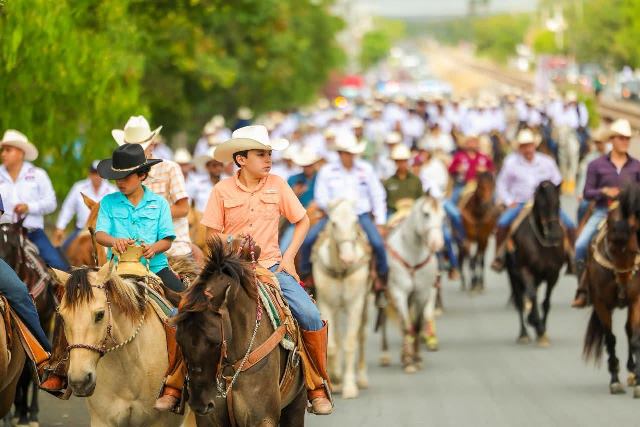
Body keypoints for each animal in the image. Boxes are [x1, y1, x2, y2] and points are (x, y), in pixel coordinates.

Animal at [174, 237, 307, 426]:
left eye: (216, 343)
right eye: (178, 340)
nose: (199, 404)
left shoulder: (263, 419)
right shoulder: (209, 420)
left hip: (297, 402)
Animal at [312, 199, 371, 399]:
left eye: (355, 221)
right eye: (334, 223)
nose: (348, 258)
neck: (341, 271)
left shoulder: (355, 304)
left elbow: (350, 343)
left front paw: (350, 387)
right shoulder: (326, 303)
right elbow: (331, 345)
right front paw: (336, 378)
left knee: (361, 335)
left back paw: (362, 378)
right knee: (336, 334)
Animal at [385, 194, 445, 373]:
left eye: (443, 216)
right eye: (426, 214)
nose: (437, 243)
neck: (412, 254)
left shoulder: (422, 293)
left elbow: (416, 325)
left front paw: (416, 358)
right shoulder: (399, 293)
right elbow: (406, 326)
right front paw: (408, 361)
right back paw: (386, 356)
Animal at [505, 181, 566, 346]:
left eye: (558, 203)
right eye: (542, 205)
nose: (555, 235)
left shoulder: (553, 274)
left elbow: (546, 302)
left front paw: (542, 333)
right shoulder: (525, 270)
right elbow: (531, 295)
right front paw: (536, 324)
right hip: (513, 275)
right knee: (520, 301)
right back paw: (523, 334)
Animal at [582, 186, 640, 395]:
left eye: (633, 251)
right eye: (612, 249)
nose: (623, 285)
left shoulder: (636, 300)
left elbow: (635, 337)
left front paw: (638, 381)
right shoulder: (601, 304)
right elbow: (610, 339)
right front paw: (614, 380)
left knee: (629, 331)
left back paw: (632, 373)